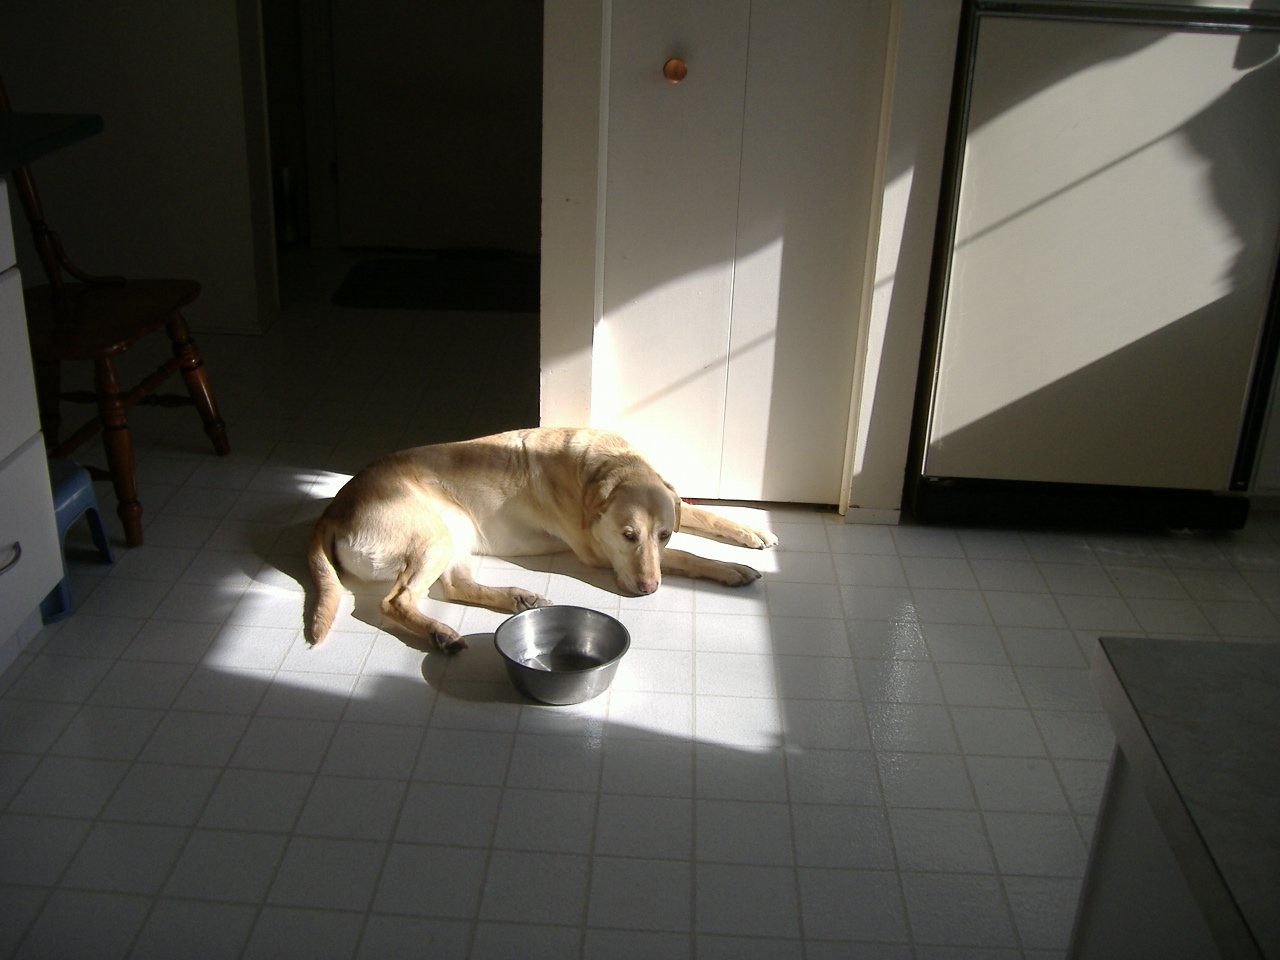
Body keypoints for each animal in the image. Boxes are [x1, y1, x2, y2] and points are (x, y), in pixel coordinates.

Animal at [304, 427, 773, 655]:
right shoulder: (597, 552)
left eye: (663, 534)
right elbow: (689, 557)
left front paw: (751, 531)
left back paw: (516, 598)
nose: (648, 590)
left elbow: (702, 515)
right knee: (396, 601)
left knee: (455, 587)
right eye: (628, 536)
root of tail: (333, 508)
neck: (599, 465)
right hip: (436, 533)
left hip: (456, 531)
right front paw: (729, 569)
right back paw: (442, 633)